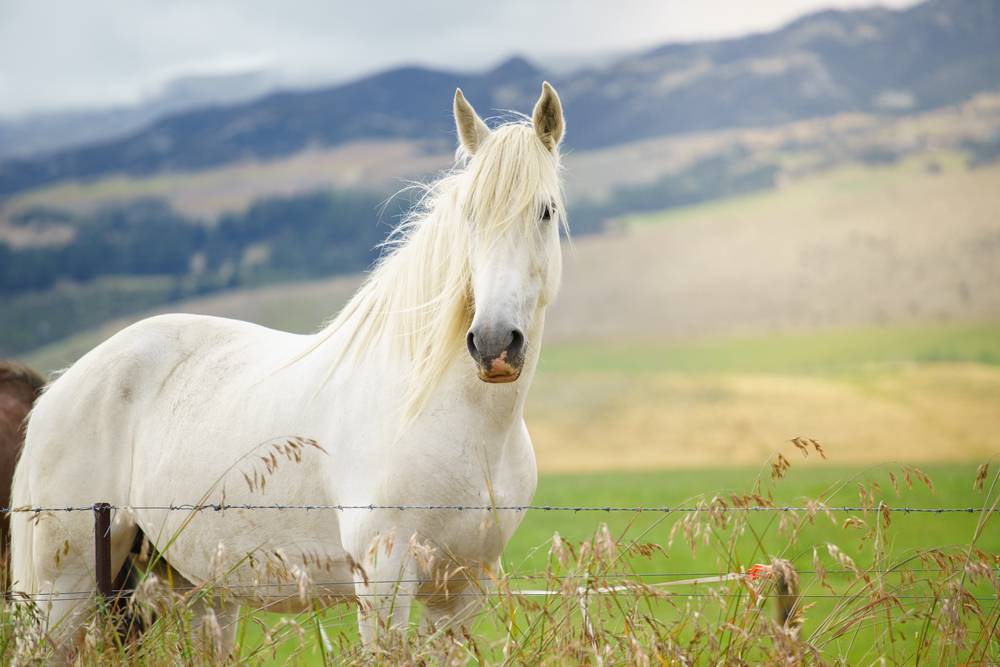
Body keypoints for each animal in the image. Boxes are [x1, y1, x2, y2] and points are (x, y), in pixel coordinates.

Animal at [9, 82, 564, 656]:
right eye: (470, 215)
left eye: (545, 211)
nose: (494, 344)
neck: (454, 421)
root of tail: (59, 390)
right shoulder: (383, 581)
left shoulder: (463, 591)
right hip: (63, 589)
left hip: (194, 589)